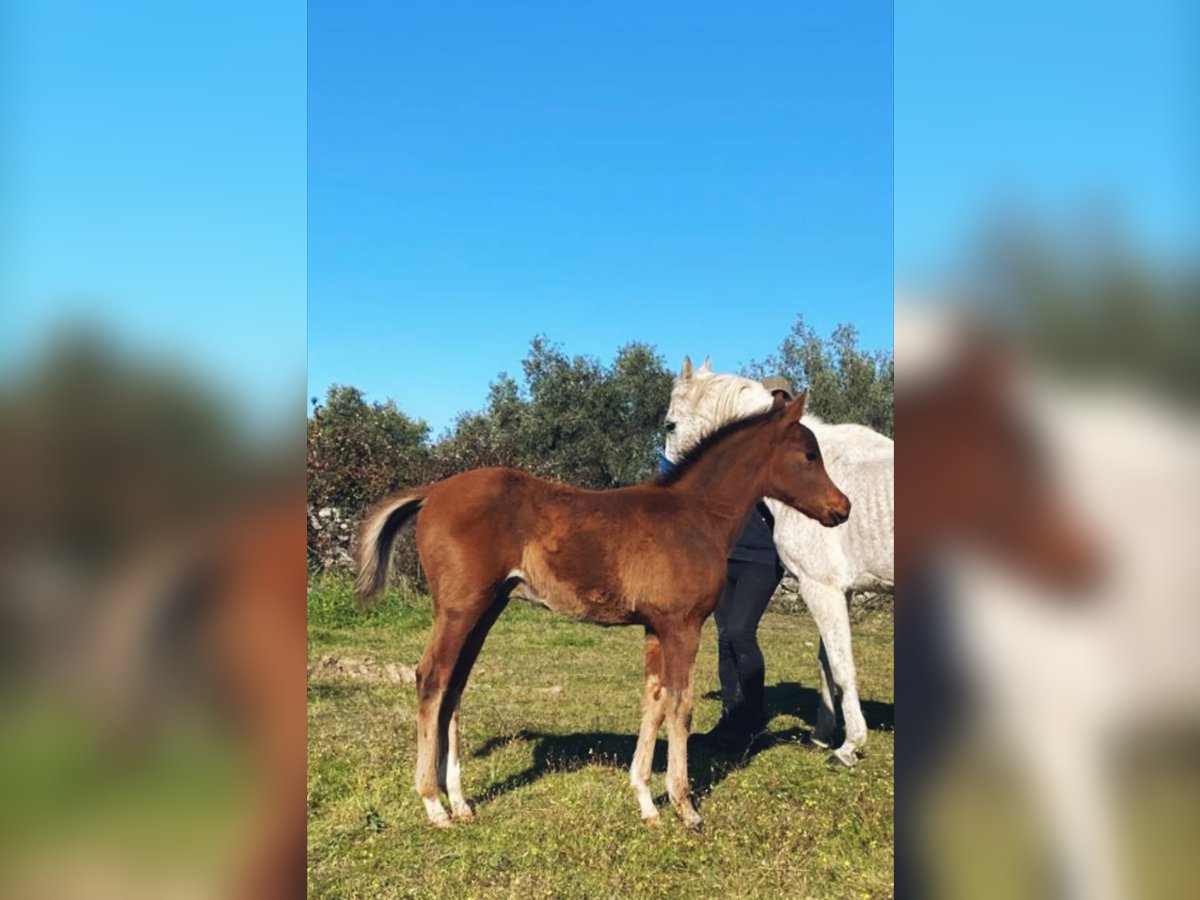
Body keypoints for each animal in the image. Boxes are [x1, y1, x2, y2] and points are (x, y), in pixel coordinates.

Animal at [350, 393, 849, 830]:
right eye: (809, 455)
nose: (841, 509)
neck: (695, 516)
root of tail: (433, 492)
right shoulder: (683, 625)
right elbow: (680, 704)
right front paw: (685, 806)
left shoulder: (655, 627)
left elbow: (653, 699)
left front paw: (645, 802)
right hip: (459, 608)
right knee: (432, 678)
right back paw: (433, 805)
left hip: (485, 610)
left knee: (454, 686)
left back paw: (459, 801)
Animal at [667, 360, 892, 768]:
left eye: (669, 425)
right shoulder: (838, 591)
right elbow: (825, 666)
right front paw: (822, 737)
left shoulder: (820, 587)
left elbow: (842, 666)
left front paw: (849, 747)